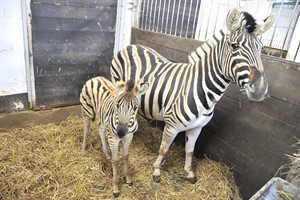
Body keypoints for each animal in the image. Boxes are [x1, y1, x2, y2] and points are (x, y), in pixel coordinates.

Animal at [109, 8, 274, 183]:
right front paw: (156, 171)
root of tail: (131, 45)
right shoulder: (172, 127)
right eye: (235, 46)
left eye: (262, 48)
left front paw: (189, 173)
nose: (260, 89)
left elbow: (190, 151)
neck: (206, 93)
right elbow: (163, 150)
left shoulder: (197, 128)